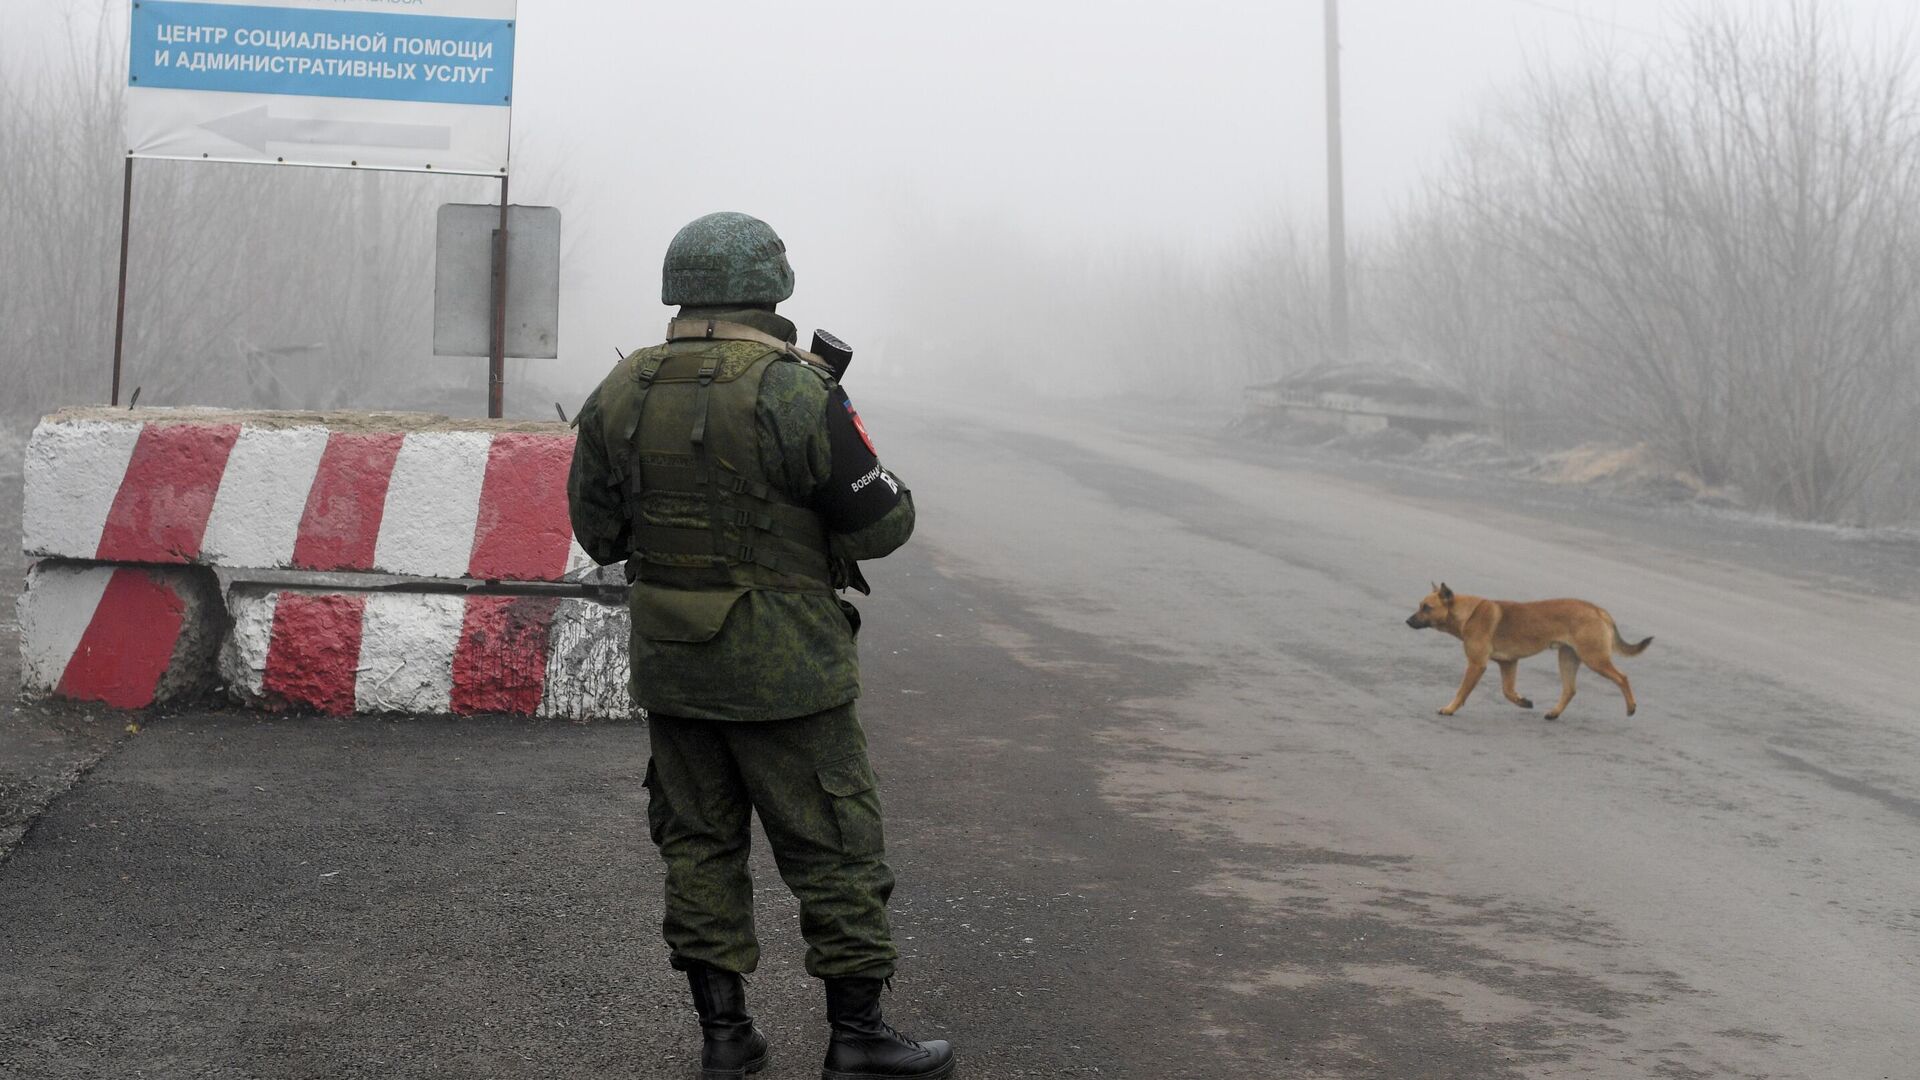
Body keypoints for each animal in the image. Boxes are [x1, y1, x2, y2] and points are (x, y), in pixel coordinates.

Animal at [1405, 580, 1658, 714]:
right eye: (1420, 605)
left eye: (1426, 607)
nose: (1407, 621)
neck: (1469, 613)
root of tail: (1598, 610)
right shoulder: (1508, 663)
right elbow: (1507, 691)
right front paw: (1522, 701)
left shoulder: (1476, 665)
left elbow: (1462, 691)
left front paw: (1449, 709)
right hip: (1568, 659)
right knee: (1570, 690)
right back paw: (1553, 714)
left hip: (1595, 659)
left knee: (1622, 678)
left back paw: (1631, 707)